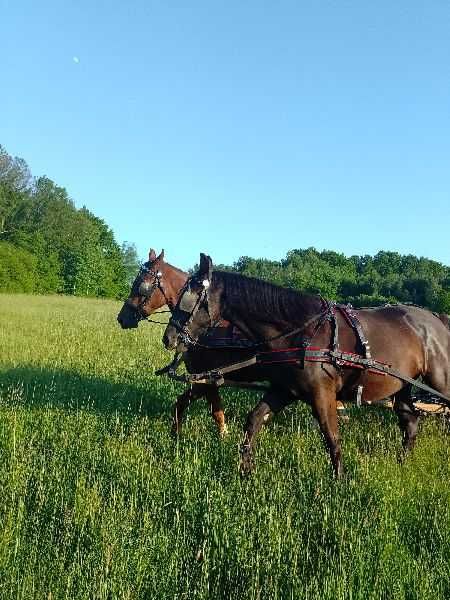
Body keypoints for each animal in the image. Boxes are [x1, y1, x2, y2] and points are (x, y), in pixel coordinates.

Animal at [163, 253, 450, 478]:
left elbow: (332, 438)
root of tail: (436, 319)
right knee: (410, 424)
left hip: (439, 382)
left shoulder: (322, 394)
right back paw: (402, 465)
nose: (169, 338)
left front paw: (340, 483)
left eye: (190, 298)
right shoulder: (283, 390)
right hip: (400, 387)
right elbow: (253, 422)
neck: (300, 332)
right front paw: (245, 472)